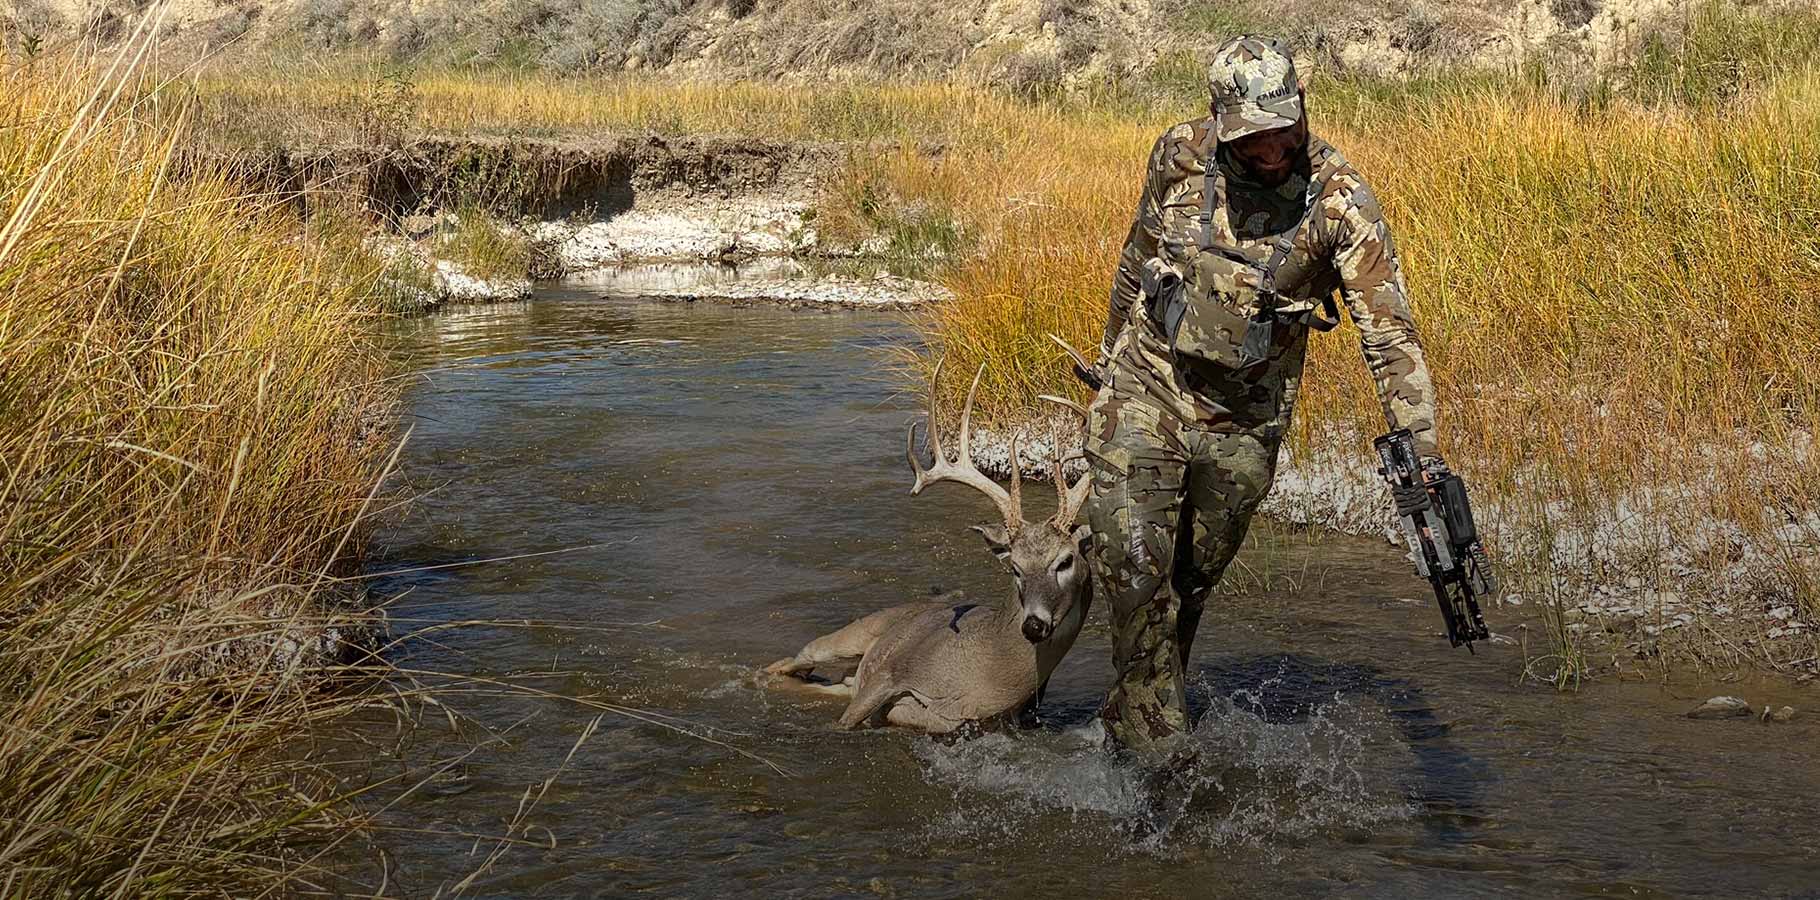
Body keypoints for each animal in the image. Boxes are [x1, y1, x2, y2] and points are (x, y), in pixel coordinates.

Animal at [764, 360, 1092, 734]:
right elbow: (844, 723)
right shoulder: (894, 670)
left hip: (847, 676)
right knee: (790, 660)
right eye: (1016, 568)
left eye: (1065, 561)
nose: (1033, 625)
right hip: (852, 635)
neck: (985, 681)